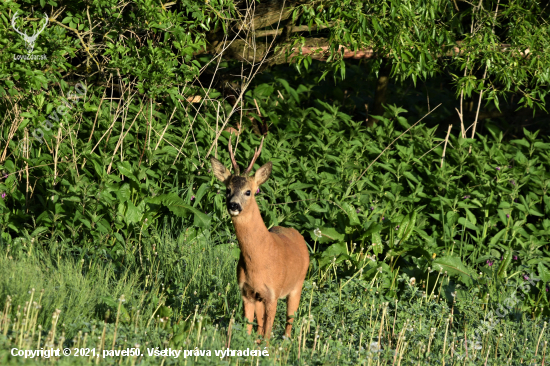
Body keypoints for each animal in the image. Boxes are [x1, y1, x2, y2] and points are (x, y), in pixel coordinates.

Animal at [212, 137, 310, 340]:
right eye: (227, 189)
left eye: (248, 191)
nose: (233, 205)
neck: (258, 262)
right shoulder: (246, 292)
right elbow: (250, 328)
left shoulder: (273, 293)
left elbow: (267, 333)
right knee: (259, 325)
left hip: (297, 284)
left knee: (289, 321)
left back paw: (286, 340)